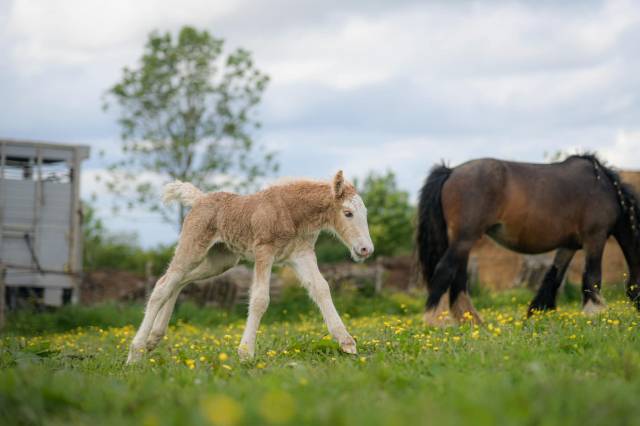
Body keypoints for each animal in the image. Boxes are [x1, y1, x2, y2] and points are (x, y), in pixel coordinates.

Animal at [126, 171, 376, 364]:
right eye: (348, 213)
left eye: (364, 213)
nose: (366, 249)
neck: (292, 212)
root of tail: (200, 198)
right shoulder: (264, 251)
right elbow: (259, 299)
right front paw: (246, 353)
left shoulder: (301, 254)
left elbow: (321, 288)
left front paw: (347, 342)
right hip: (192, 248)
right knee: (163, 285)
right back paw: (135, 353)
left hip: (221, 260)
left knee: (179, 282)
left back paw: (153, 339)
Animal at [416, 155, 640, 324]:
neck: (607, 189)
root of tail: (451, 171)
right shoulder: (595, 237)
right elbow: (592, 277)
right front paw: (595, 313)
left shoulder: (568, 246)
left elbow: (553, 277)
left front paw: (536, 312)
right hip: (464, 239)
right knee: (444, 272)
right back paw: (434, 321)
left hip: (462, 243)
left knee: (459, 281)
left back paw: (472, 322)